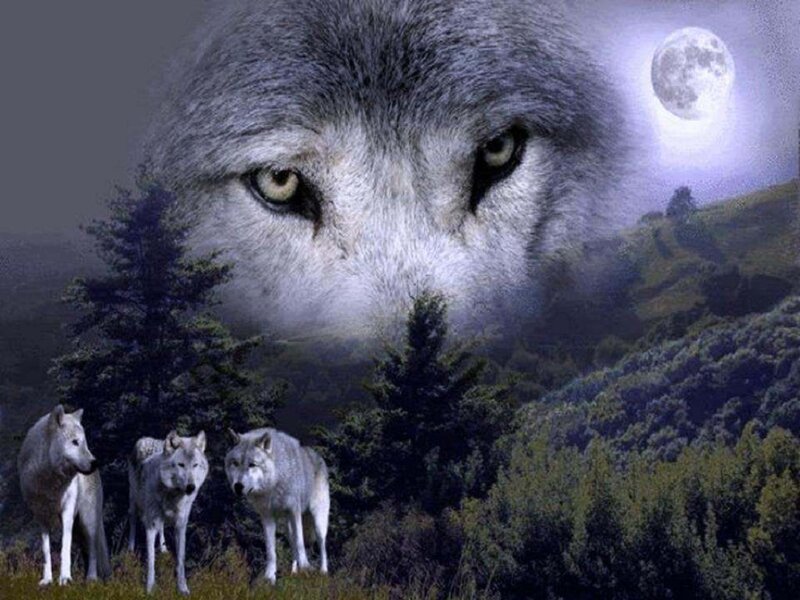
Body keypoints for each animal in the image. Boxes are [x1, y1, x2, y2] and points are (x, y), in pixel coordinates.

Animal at [17, 405, 110, 585]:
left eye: (84, 442)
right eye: (75, 442)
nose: (95, 462)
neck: (50, 481)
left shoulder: (67, 512)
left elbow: (64, 547)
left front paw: (65, 578)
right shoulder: (41, 518)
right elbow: (46, 551)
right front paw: (47, 580)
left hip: (88, 520)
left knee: (93, 550)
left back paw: (91, 579)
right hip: (79, 530)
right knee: (86, 550)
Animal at [128, 431, 209, 595]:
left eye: (195, 465)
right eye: (181, 465)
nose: (191, 487)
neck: (172, 495)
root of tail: (148, 439)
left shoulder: (181, 525)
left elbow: (181, 560)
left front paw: (183, 589)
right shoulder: (150, 524)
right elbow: (151, 559)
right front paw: (150, 589)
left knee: (162, 528)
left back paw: (164, 549)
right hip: (134, 503)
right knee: (133, 521)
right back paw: (130, 550)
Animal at [225, 428, 330, 583]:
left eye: (252, 464)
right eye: (235, 463)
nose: (238, 486)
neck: (273, 484)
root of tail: (318, 456)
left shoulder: (294, 511)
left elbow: (300, 542)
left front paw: (306, 567)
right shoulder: (267, 516)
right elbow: (271, 550)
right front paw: (269, 578)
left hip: (318, 520)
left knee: (322, 545)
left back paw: (323, 572)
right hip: (288, 527)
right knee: (293, 546)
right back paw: (293, 573)